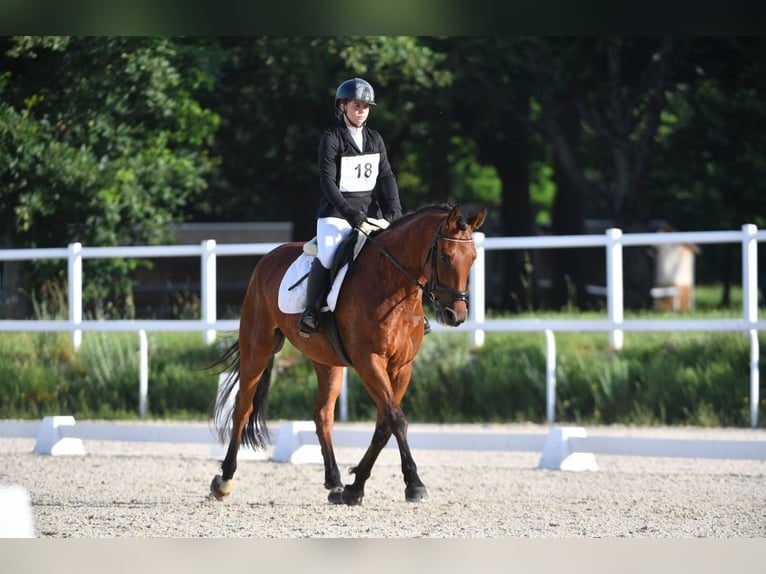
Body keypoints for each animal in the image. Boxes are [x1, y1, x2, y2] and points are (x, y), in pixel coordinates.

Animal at [210, 204, 487, 505]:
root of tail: (268, 258)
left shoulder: (402, 367)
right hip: (257, 345)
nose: (455, 315)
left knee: (323, 416)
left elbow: (385, 424)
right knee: (243, 407)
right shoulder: (369, 361)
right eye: (446, 257)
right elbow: (396, 419)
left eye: (472, 258)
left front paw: (355, 486)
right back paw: (224, 480)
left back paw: (335, 483)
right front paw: (414, 483)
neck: (393, 283)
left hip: (326, 361)